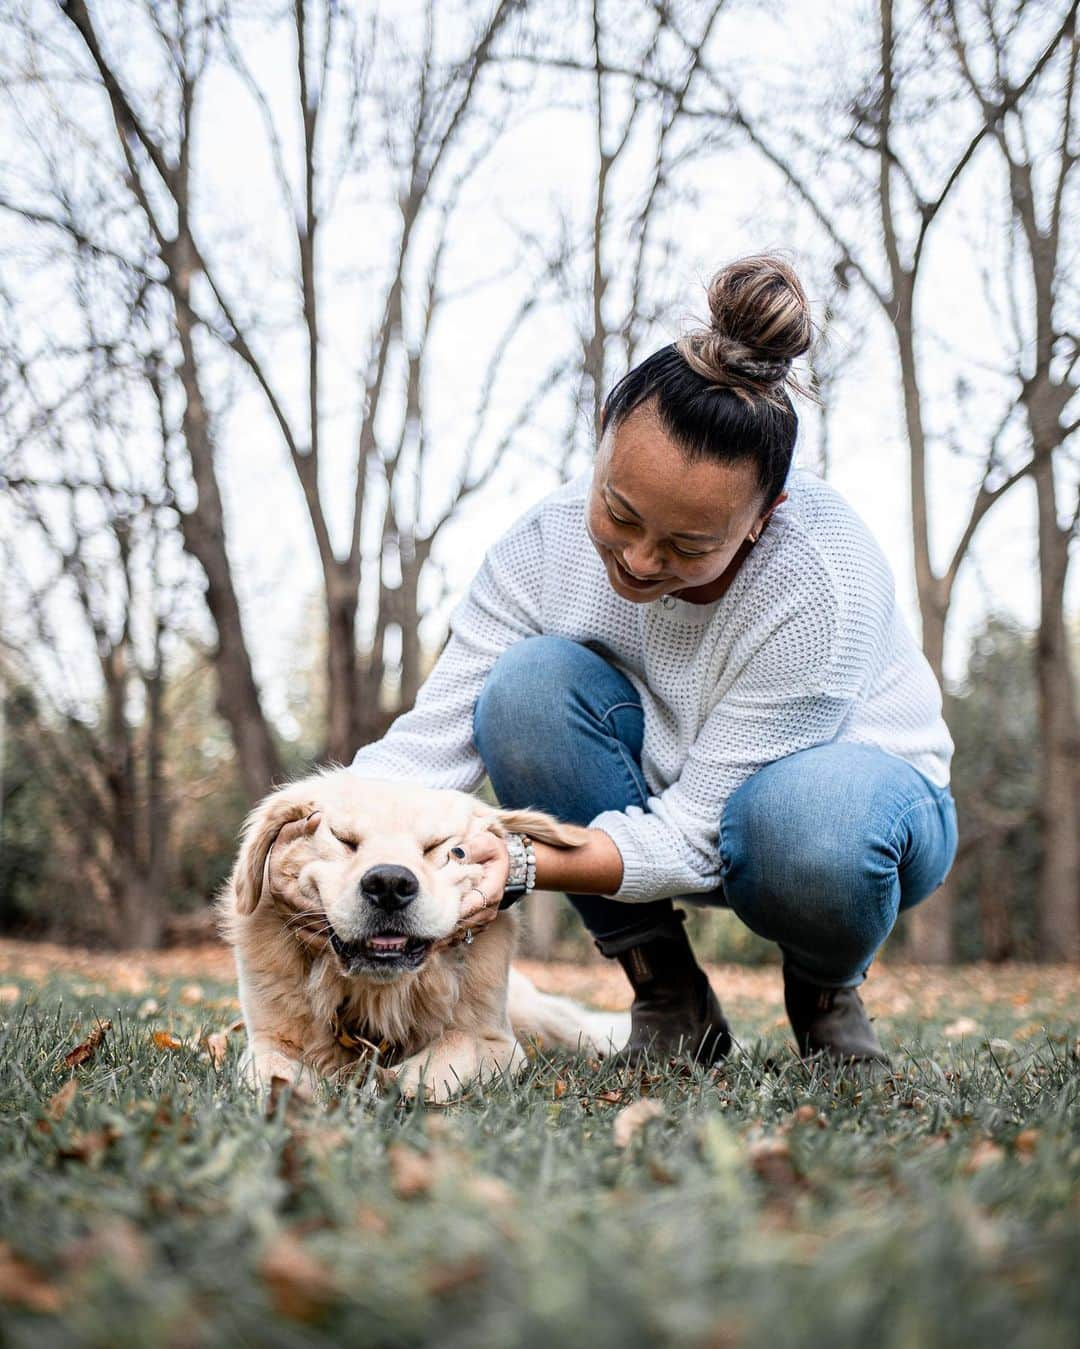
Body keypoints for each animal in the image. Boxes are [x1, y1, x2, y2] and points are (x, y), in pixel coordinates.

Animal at [215, 766, 628, 1100]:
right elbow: (276, 1069)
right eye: (344, 840)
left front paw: (398, 1081)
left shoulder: (499, 1043)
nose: (389, 884)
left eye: (442, 849)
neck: (381, 994)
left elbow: (456, 1043)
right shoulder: (267, 1040)